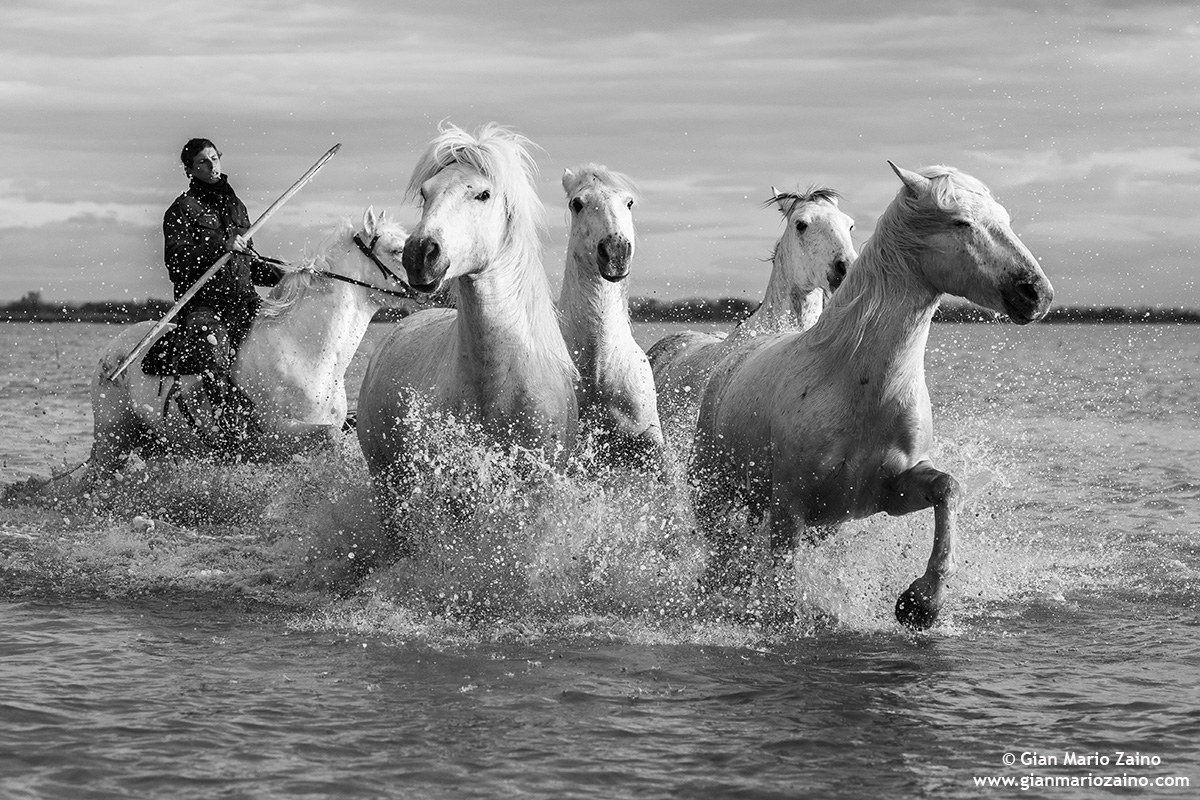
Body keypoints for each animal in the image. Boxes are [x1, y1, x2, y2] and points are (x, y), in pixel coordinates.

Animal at [89, 207, 410, 474]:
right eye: (397, 250)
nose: (425, 283)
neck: (304, 349)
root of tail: (112, 351)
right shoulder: (277, 434)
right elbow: (330, 437)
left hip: (153, 442)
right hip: (111, 441)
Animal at [690, 162, 1054, 630]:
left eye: (1005, 219)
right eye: (960, 222)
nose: (1036, 294)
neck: (857, 384)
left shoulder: (888, 491)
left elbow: (949, 488)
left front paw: (921, 603)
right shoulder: (789, 504)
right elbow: (782, 581)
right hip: (715, 493)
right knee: (722, 549)